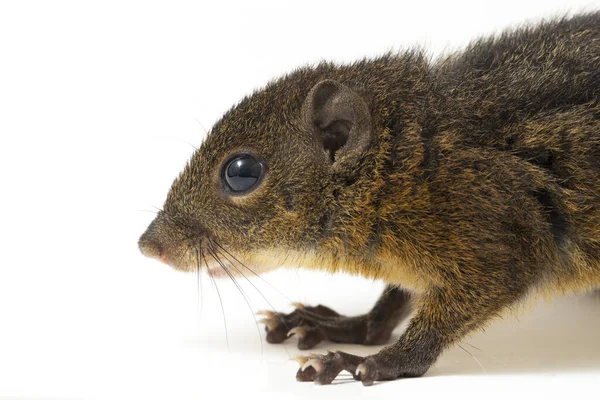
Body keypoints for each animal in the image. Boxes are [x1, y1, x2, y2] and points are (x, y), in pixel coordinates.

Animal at [138, 12, 600, 386]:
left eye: (241, 173)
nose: (148, 245)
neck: (409, 166)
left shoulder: (497, 233)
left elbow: (450, 315)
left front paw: (374, 361)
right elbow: (391, 304)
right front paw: (346, 326)